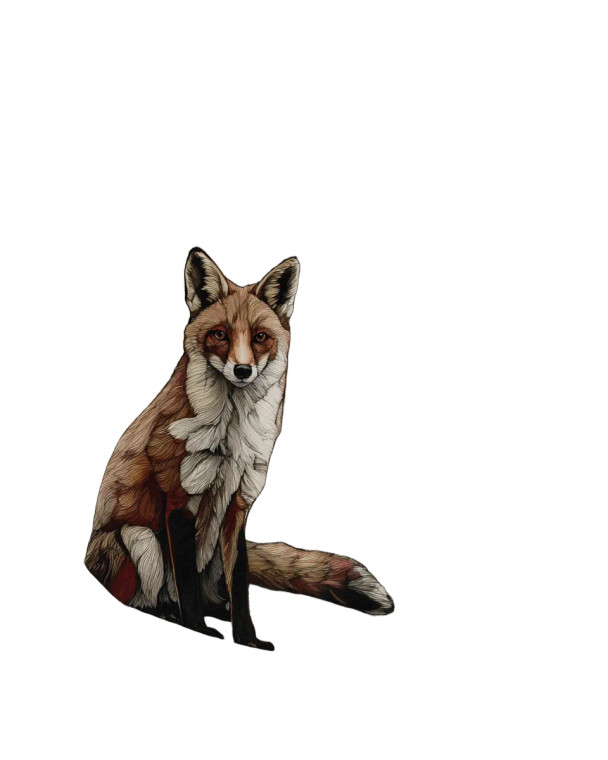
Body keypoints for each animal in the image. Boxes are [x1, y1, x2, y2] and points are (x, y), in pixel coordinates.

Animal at [85, 248, 394, 650]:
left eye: (260, 336)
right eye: (220, 334)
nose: (243, 370)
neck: (232, 442)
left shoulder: (240, 503)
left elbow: (242, 585)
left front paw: (248, 640)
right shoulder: (178, 500)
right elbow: (186, 584)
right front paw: (197, 630)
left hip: (209, 549)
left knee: (217, 593)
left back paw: (216, 610)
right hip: (140, 539)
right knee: (145, 600)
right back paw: (169, 614)